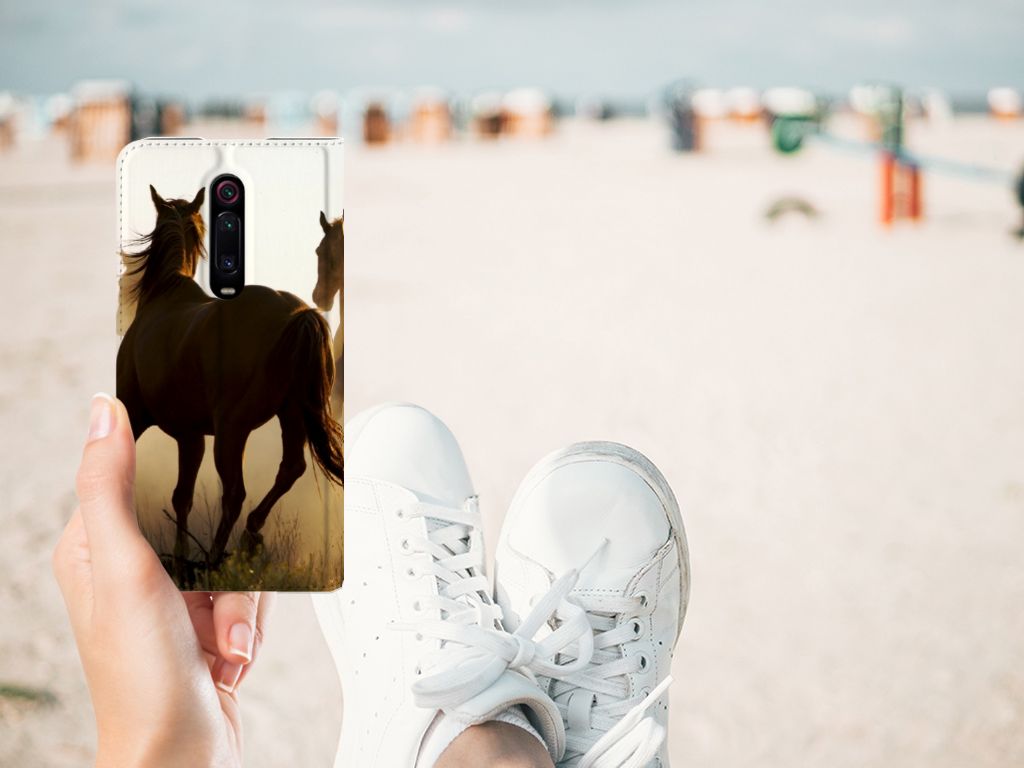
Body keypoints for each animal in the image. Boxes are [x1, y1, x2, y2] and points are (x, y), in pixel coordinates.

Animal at [117, 185, 344, 570]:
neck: (164, 295)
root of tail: (298, 314)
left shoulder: (138, 417)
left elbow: (177, 495)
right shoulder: (190, 435)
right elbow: (183, 496)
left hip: (232, 431)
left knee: (235, 493)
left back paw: (215, 557)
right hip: (291, 416)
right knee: (289, 469)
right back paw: (250, 535)